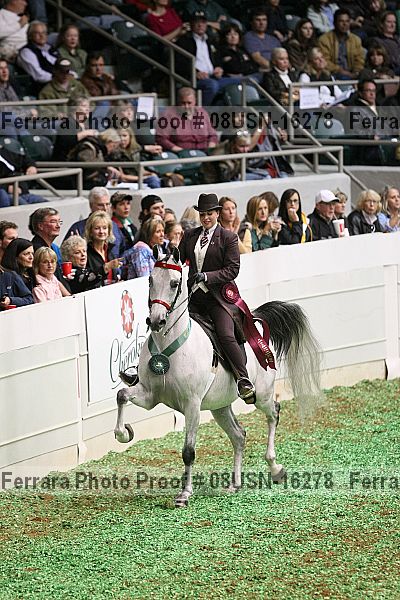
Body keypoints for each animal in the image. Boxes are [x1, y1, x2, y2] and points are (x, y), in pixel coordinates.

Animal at [114, 246, 322, 508]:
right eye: (151, 280)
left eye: (174, 283)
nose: (156, 320)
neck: (168, 345)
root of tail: (254, 325)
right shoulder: (150, 396)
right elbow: (122, 395)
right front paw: (123, 433)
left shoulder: (192, 404)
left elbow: (188, 451)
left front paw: (184, 495)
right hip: (219, 407)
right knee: (239, 436)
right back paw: (235, 484)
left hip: (261, 394)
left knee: (274, 412)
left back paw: (275, 468)